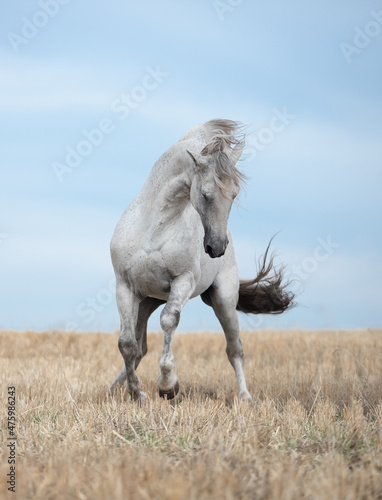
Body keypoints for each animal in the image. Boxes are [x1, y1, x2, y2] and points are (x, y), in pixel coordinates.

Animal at [110, 120, 292, 402]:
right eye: (205, 195)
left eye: (234, 195)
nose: (216, 247)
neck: (154, 229)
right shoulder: (125, 287)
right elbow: (127, 344)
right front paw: (135, 393)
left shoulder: (183, 281)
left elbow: (168, 321)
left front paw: (168, 386)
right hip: (146, 301)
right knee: (140, 346)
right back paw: (114, 387)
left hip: (223, 299)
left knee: (235, 348)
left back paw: (245, 397)